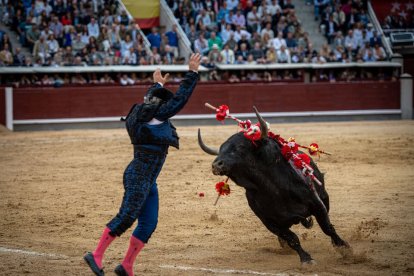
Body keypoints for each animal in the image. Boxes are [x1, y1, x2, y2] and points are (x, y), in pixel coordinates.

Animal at [197, 107, 350, 264]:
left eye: (240, 147)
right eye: (221, 149)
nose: (216, 165)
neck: (274, 189)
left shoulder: (317, 204)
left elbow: (327, 228)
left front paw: (343, 248)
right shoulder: (269, 221)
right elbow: (292, 239)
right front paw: (306, 259)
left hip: (324, 196)